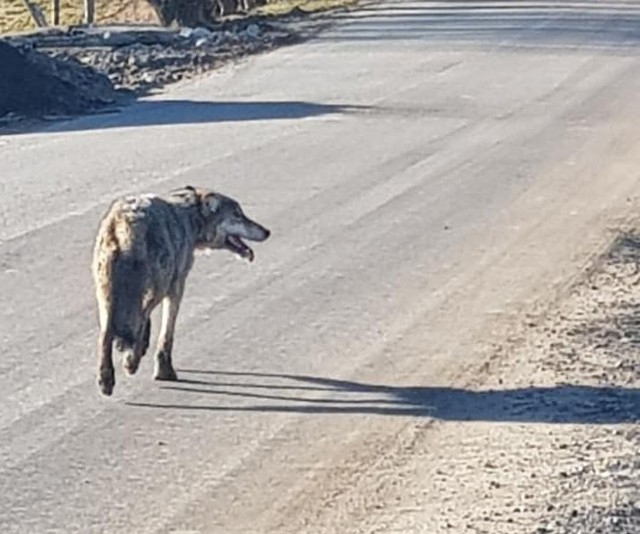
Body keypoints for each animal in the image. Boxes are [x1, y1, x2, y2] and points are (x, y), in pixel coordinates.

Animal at [91, 186, 268, 396]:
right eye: (238, 215)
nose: (267, 232)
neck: (189, 218)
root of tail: (124, 220)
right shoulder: (177, 285)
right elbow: (167, 334)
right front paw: (163, 369)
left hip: (106, 293)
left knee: (106, 333)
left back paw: (107, 379)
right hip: (158, 285)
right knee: (139, 318)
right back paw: (131, 362)